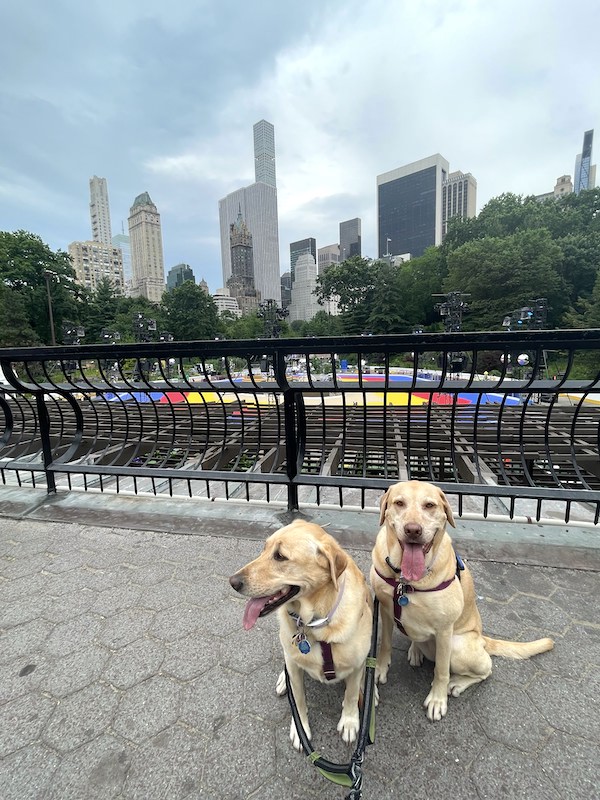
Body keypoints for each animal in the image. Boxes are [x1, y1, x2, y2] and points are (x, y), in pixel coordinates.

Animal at [229, 520, 370, 752]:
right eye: (264, 548)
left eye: (280, 556)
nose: (232, 582)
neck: (316, 622)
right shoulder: (295, 669)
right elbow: (299, 699)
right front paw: (301, 729)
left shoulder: (358, 664)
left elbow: (350, 695)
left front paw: (350, 720)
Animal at [372, 484, 556, 720]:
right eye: (399, 503)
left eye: (429, 505)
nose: (413, 530)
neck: (404, 581)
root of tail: (482, 639)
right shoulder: (385, 610)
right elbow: (385, 645)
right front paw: (379, 670)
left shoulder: (444, 630)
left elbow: (441, 670)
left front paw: (437, 700)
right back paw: (415, 650)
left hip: (458, 646)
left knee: (486, 669)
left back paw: (457, 683)